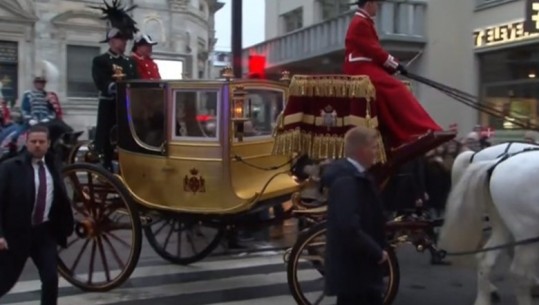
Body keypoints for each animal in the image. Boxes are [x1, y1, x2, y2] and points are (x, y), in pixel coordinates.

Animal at [440, 149, 539, 304]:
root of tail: (495, 164)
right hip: (528, 233)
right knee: (519, 274)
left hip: (504, 226)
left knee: (486, 260)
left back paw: (483, 298)